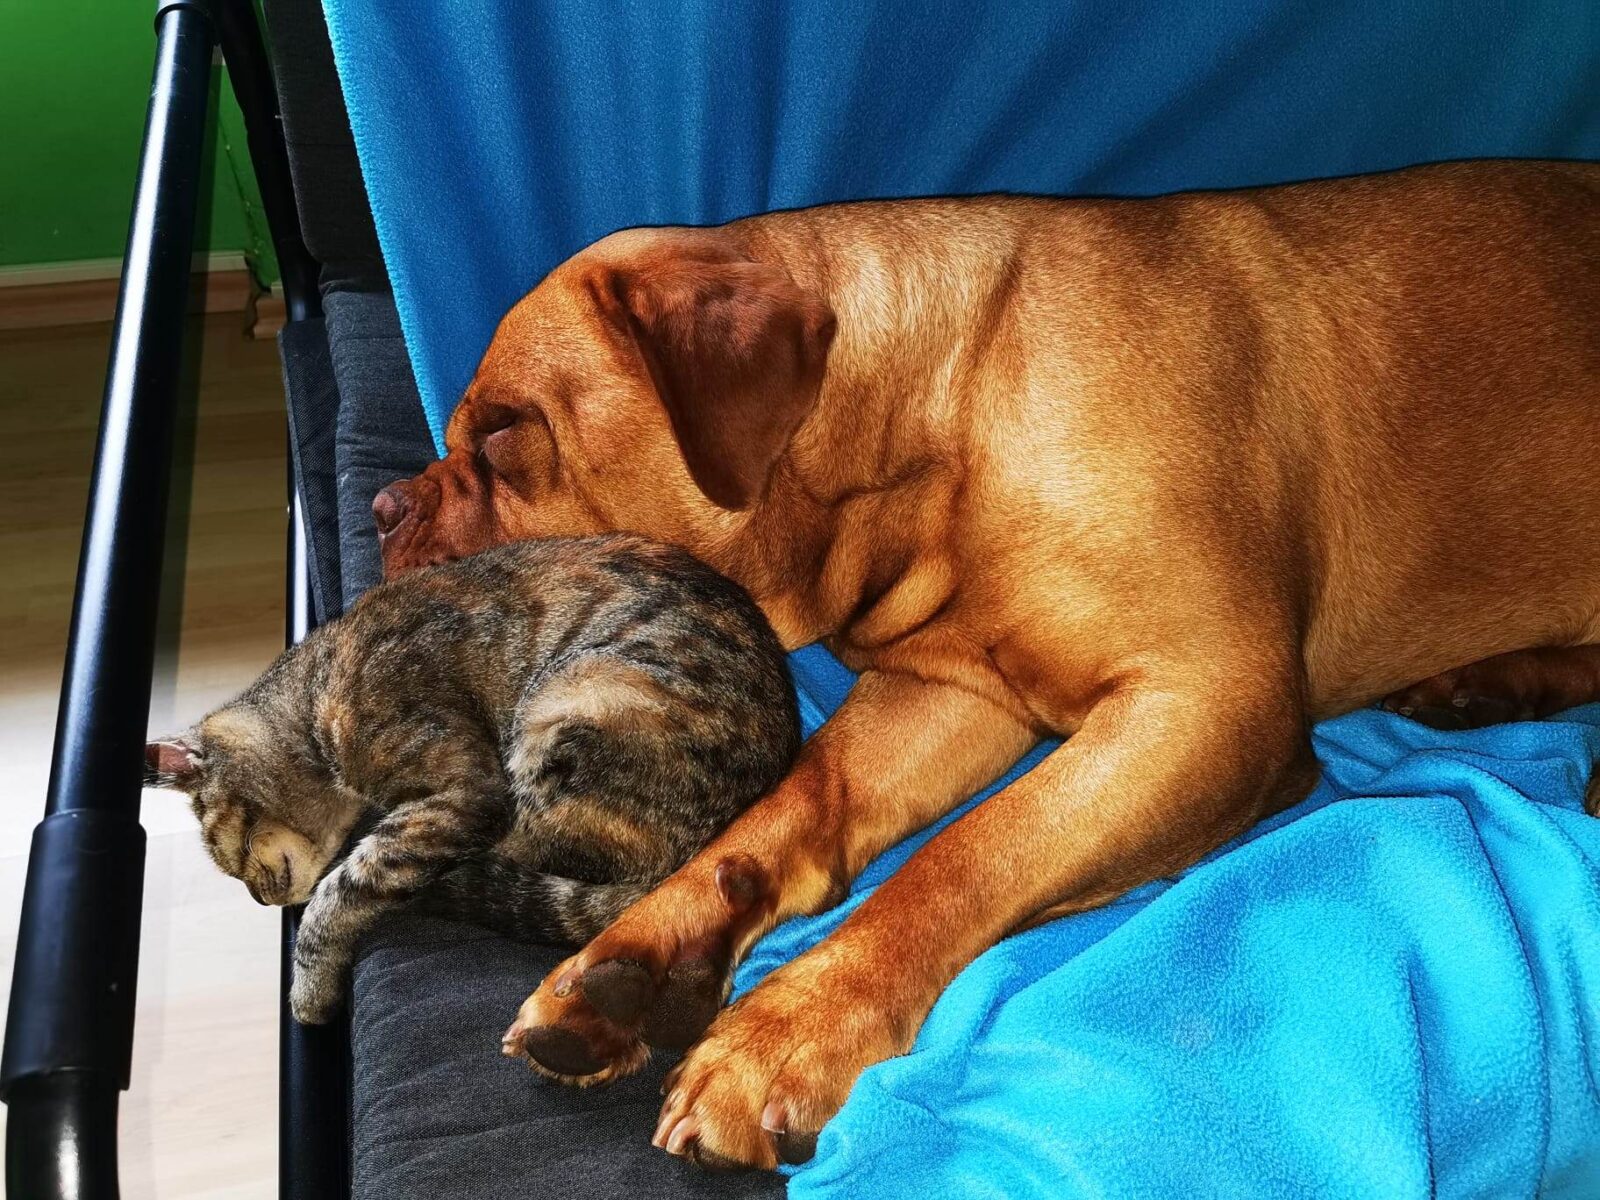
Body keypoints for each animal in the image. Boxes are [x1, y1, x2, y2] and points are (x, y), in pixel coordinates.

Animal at [144, 534, 800, 1025]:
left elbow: (340, 891)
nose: (258, 900)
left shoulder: (465, 792)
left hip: (567, 706)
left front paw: (308, 987)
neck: (314, 693)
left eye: (231, 855)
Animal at [376, 159, 1600, 1170]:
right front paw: (644, 955)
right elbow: (792, 810)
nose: (386, 506)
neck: (936, 424)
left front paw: (789, 1031)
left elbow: (961, 860)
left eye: (502, 434)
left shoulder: (1205, 705)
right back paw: (1491, 687)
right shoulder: (950, 695)